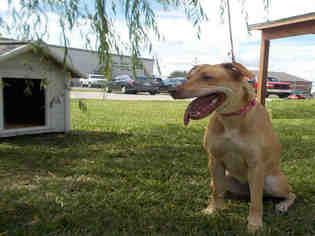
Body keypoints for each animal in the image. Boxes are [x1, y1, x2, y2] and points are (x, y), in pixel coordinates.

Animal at [170, 62, 296, 232]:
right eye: (188, 77)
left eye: (207, 77)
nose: (172, 90)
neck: (232, 118)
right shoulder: (215, 160)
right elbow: (216, 192)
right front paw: (212, 210)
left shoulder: (256, 165)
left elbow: (256, 202)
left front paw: (254, 224)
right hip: (224, 179)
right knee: (225, 190)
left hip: (273, 182)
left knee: (288, 194)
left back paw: (282, 205)